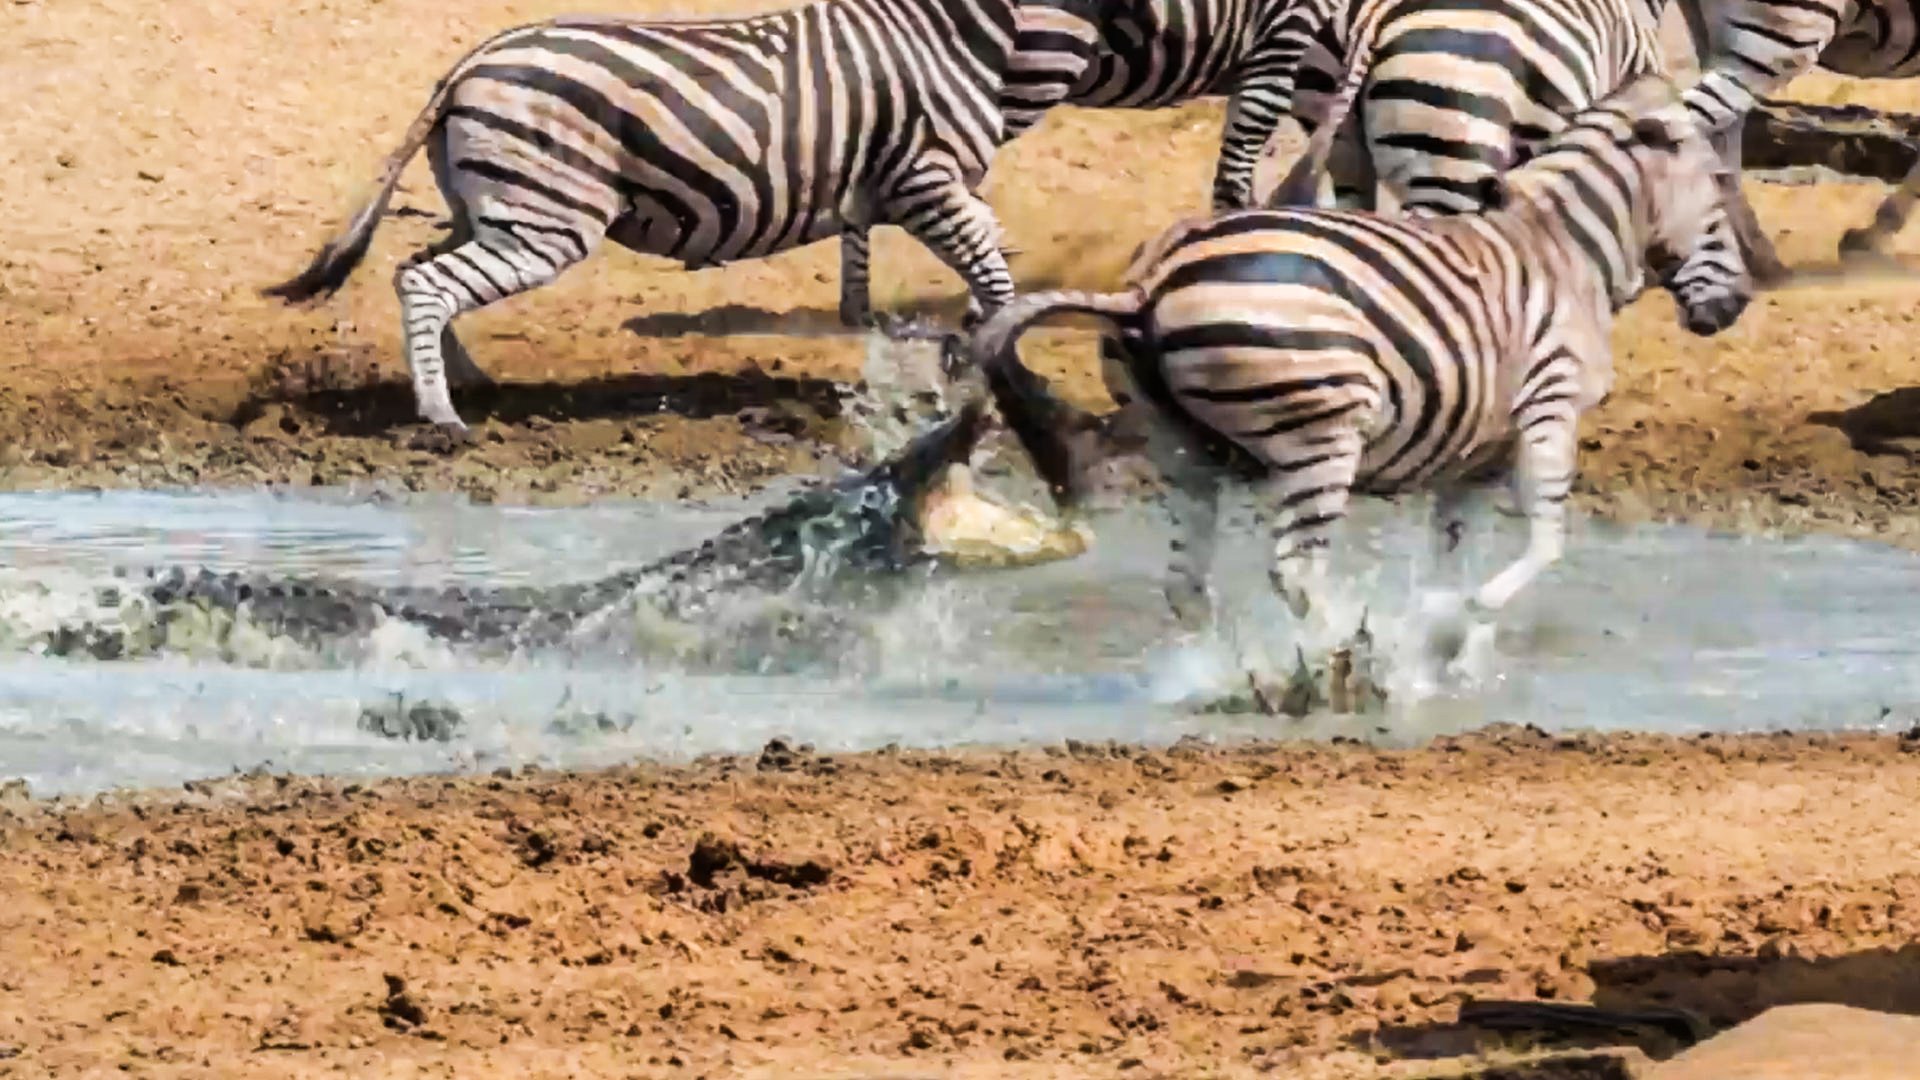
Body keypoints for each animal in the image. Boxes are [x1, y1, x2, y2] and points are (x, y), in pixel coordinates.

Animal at [261, 0, 1103, 433]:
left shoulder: (899, 186)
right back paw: (440, 414)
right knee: (427, 283)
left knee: (420, 270)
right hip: (546, 219)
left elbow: (963, 271)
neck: (952, 32)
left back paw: (469, 381)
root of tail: (467, 66)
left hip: (493, 206)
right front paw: (1005, 375)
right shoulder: (926, 179)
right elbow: (994, 278)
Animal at [965, 74, 1746, 667]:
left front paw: (1454, 653)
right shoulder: (1549, 406)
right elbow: (1545, 542)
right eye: (1717, 188)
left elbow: (1451, 562)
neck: (1567, 250)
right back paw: (1340, 655)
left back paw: (1236, 671)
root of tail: (1148, 284)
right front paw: (1461, 625)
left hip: (1181, 446)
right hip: (1321, 431)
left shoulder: (1475, 458)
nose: (1736, 305)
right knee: (1295, 567)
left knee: (1187, 583)